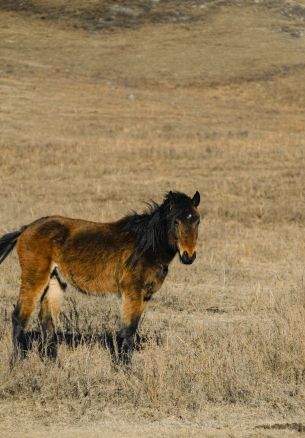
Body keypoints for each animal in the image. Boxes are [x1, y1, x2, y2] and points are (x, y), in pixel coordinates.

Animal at [0, 190, 201, 364]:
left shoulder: (146, 295)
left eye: (197, 221)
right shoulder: (132, 292)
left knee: (47, 320)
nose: (188, 256)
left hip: (55, 280)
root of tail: (26, 228)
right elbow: (128, 331)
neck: (146, 247)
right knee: (19, 317)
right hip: (34, 278)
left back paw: (53, 364)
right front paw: (125, 369)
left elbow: (132, 328)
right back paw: (18, 362)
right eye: (176, 221)